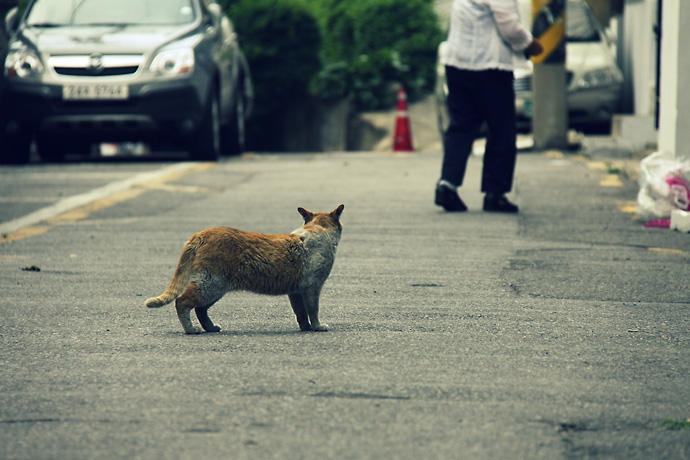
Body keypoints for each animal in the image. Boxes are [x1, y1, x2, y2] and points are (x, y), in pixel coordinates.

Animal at [146, 205, 344, 334]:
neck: (318, 229)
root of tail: (201, 234)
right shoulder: (312, 287)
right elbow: (313, 310)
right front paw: (317, 327)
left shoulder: (295, 291)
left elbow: (301, 312)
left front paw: (306, 328)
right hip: (211, 284)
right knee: (182, 302)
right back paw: (191, 329)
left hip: (214, 288)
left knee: (200, 310)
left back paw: (210, 328)